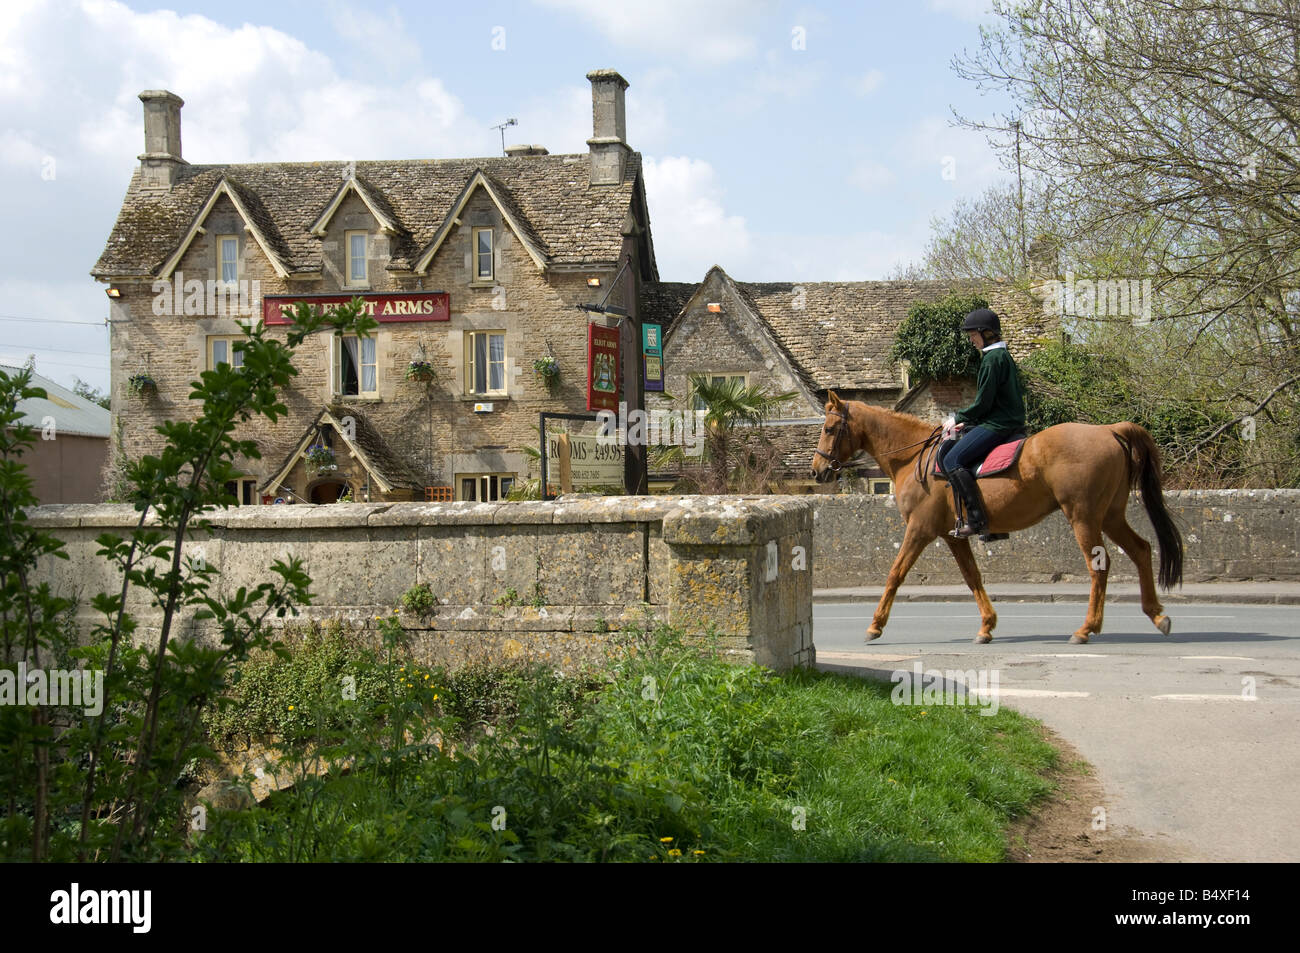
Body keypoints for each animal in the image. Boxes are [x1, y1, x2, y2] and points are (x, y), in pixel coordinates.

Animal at [811, 390, 1190, 642]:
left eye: (829, 429)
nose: (817, 471)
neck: (914, 456)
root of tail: (1108, 429)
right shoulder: (952, 534)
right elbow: (972, 576)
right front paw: (987, 626)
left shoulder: (919, 529)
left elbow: (895, 574)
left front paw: (875, 625)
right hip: (1109, 515)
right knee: (1141, 550)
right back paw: (1157, 615)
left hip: (1084, 516)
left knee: (1100, 566)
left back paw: (1086, 629)